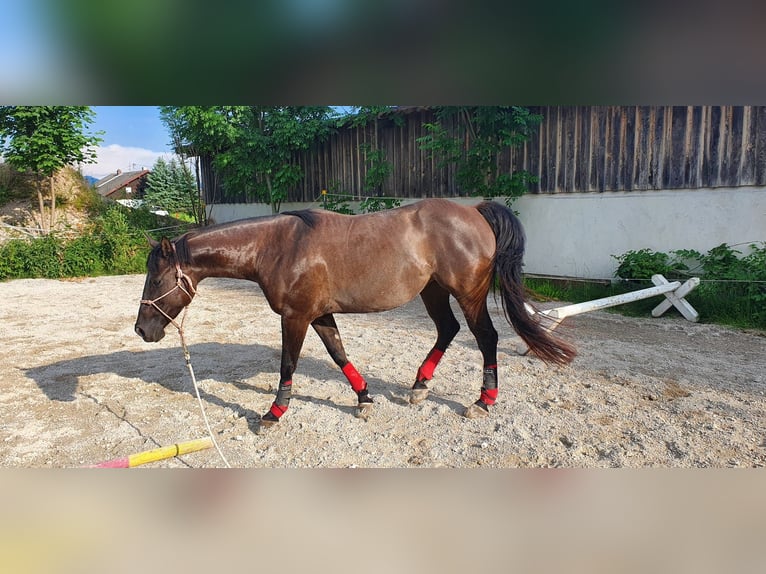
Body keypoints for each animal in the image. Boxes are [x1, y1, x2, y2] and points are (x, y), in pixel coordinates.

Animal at [135, 198, 576, 428]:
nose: (141, 330)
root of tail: (475, 211)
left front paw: (274, 413)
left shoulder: (295, 317)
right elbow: (339, 353)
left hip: (467, 294)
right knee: (447, 330)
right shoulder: (318, 315)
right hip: (433, 291)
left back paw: (484, 401)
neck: (277, 247)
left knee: (486, 338)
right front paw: (364, 397)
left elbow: (288, 364)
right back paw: (419, 386)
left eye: (155, 280)